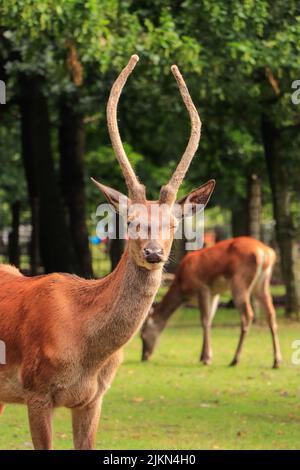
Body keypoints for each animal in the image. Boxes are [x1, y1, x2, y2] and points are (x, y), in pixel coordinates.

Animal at [0, 53, 216, 450]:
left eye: (174, 224)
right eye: (130, 220)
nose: (153, 253)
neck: (88, 353)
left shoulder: (94, 398)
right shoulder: (36, 390)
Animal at [141, 237, 282, 370]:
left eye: (142, 335)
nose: (144, 357)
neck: (182, 287)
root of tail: (266, 253)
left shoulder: (202, 288)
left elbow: (204, 320)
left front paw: (206, 358)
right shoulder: (215, 293)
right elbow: (210, 319)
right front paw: (203, 356)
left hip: (239, 281)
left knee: (248, 315)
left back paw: (235, 359)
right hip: (262, 284)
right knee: (271, 314)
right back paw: (277, 361)